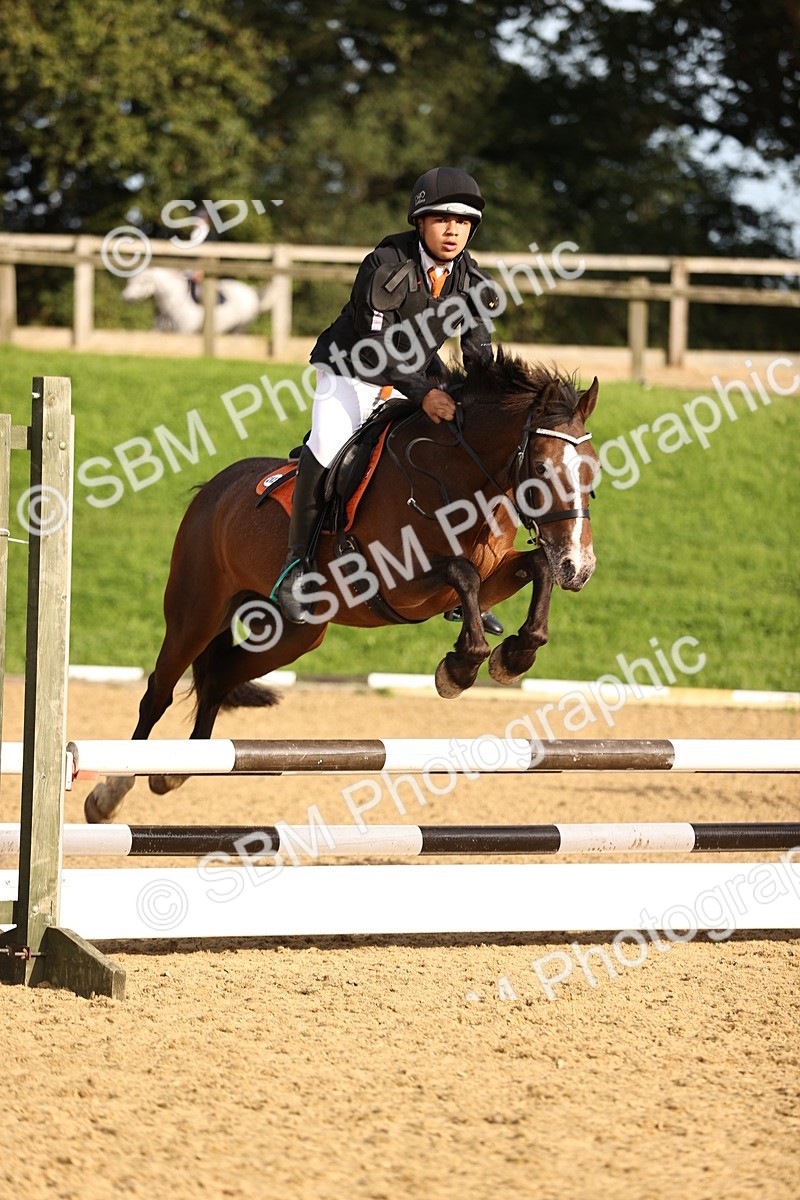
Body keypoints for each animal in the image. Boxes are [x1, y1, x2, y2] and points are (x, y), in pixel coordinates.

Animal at [84, 350, 600, 823]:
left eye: (592, 471)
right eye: (543, 469)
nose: (579, 568)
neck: (457, 476)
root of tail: (214, 489)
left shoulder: (488, 577)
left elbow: (534, 567)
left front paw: (514, 655)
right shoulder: (400, 583)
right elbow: (463, 575)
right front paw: (459, 668)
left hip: (294, 634)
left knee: (218, 677)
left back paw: (178, 769)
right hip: (196, 611)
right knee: (159, 692)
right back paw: (109, 794)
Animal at [122, 267, 274, 334]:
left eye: (143, 282)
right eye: (130, 281)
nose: (125, 297)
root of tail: (252, 293)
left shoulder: (184, 333)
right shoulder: (158, 333)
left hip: (240, 328)